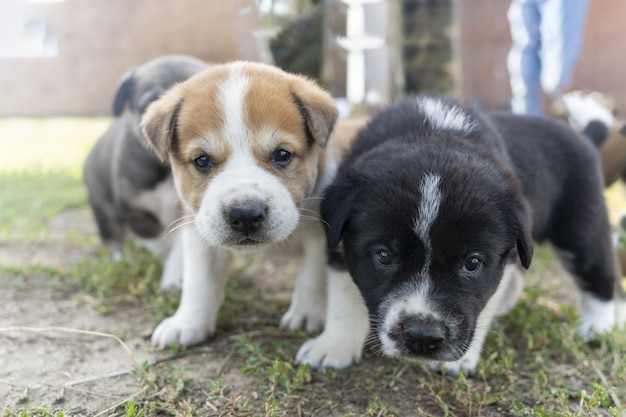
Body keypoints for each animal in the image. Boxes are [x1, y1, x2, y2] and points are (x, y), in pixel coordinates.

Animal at [83, 54, 207, 290]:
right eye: (152, 103)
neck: (167, 171)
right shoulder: (134, 209)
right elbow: (154, 237)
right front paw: (160, 255)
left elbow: (178, 248)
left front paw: (173, 278)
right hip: (103, 209)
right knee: (113, 237)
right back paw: (120, 261)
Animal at [140, 61, 370, 368]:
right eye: (202, 160)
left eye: (282, 155)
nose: (246, 215)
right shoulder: (198, 233)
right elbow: (199, 281)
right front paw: (188, 323)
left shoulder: (320, 235)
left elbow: (313, 276)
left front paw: (307, 312)